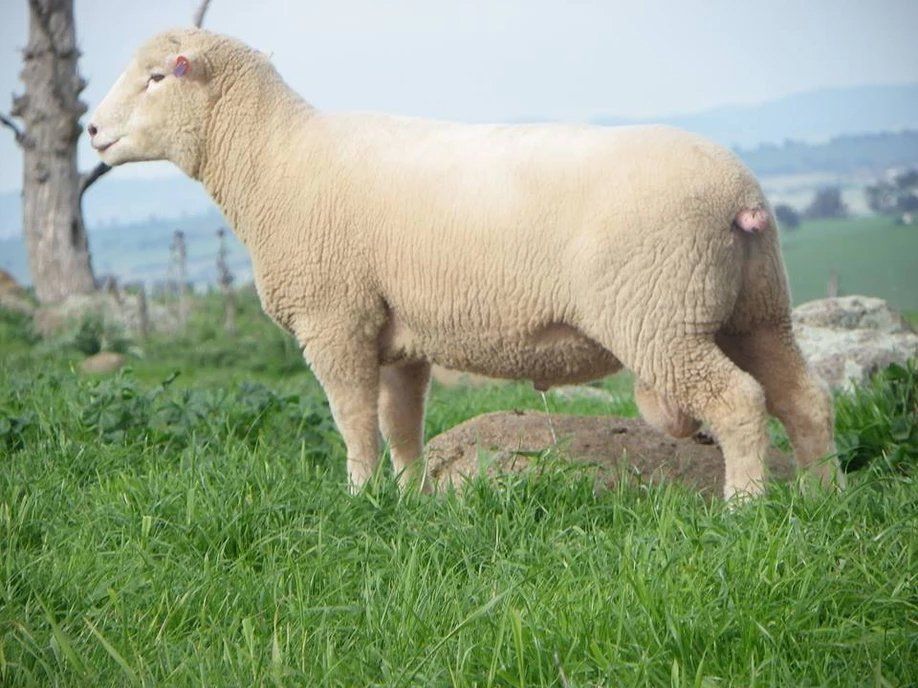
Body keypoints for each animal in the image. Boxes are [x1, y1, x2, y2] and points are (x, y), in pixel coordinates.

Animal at [88, 28, 843, 499]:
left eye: (155, 79)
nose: (91, 130)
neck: (270, 158)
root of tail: (741, 194)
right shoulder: (395, 332)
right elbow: (401, 423)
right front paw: (407, 498)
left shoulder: (335, 317)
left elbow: (353, 420)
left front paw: (357, 496)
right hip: (756, 308)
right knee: (804, 399)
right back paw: (823, 500)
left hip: (662, 316)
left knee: (738, 401)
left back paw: (745, 508)